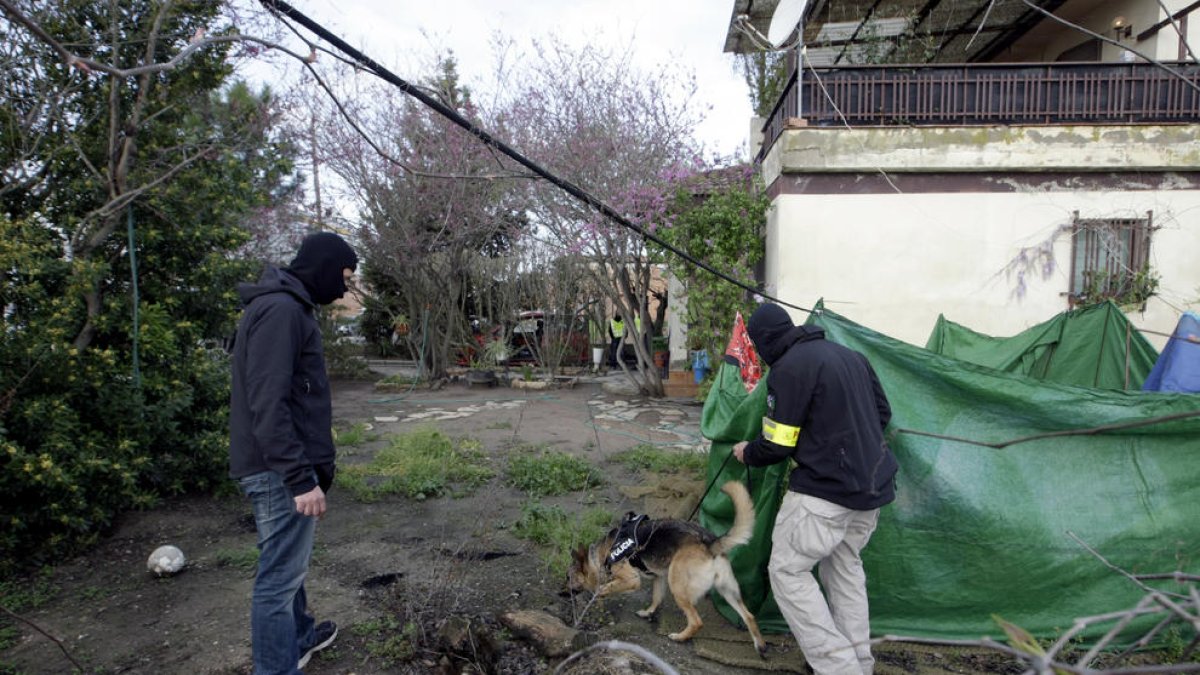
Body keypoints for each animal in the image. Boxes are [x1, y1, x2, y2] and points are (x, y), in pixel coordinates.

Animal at [564, 478, 768, 653]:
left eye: (569, 578)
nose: (561, 593)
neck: (600, 554)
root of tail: (710, 543)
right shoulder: (658, 578)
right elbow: (656, 598)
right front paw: (648, 612)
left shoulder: (632, 579)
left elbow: (606, 587)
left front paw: (598, 596)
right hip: (727, 591)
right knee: (749, 616)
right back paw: (760, 646)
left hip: (677, 586)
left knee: (696, 621)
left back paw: (680, 637)